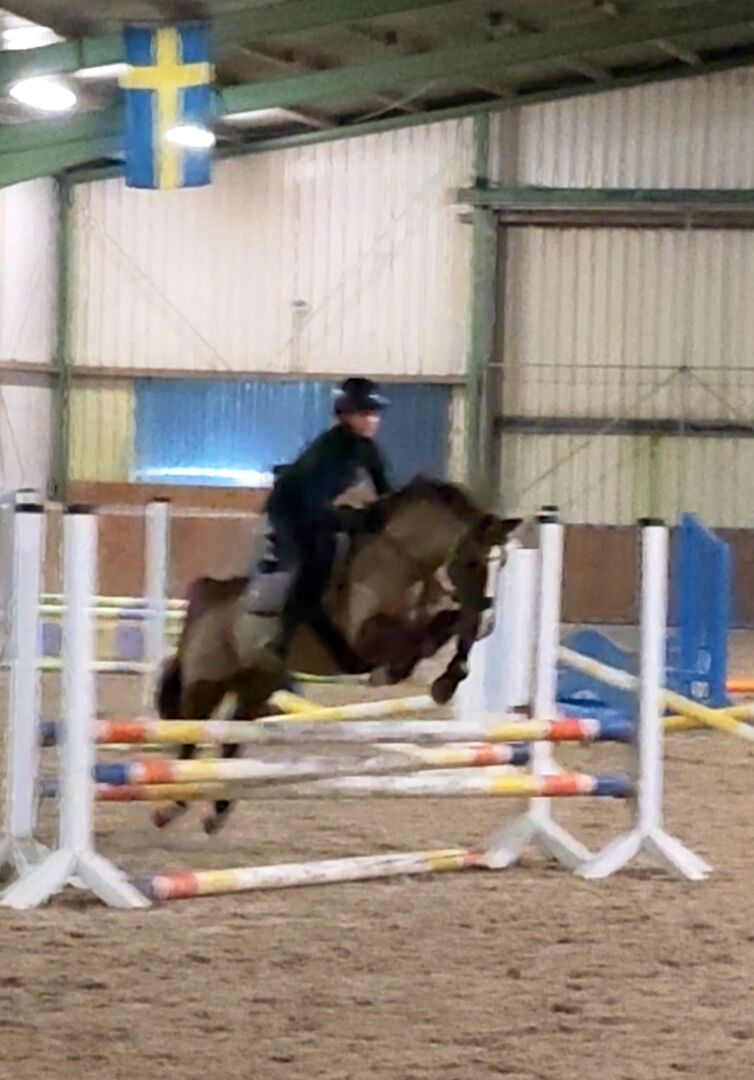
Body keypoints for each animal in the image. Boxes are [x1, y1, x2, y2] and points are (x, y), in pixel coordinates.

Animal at [154, 476, 522, 834]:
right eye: (472, 561)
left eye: (502, 564)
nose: (489, 621)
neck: (399, 562)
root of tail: (209, 598)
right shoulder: (364, 640)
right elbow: (430, 633)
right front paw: (413, 674)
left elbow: (446, 625)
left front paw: (446, 678)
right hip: (205, 684)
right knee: (189, 736)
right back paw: (169, 807)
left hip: (256, 684)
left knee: (231, 738)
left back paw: (215, 812)